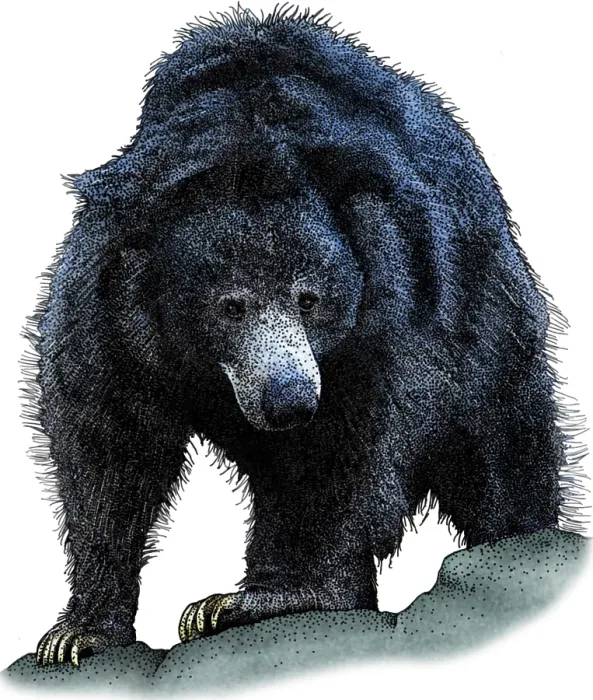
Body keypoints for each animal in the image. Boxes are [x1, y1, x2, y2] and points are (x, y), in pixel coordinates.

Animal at [24, 6, 582, 666]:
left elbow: (354, 445)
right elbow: (108, 445)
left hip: (492, 326)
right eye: (230, 306)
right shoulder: (107, 310)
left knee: (503, 457)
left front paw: (272, 597)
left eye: (310, 299)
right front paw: (79, 632)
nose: (288, 399)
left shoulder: (396, 303)